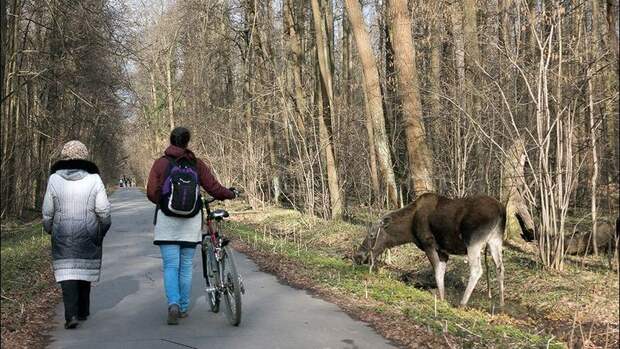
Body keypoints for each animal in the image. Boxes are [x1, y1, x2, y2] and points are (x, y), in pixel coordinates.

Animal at [354, 192, 508, 306]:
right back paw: (501, 304)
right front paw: (443, 298)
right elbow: (441, 273)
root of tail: (501, 211)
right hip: (495, 239)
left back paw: (462, 303)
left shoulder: (428, 244)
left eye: (372, 234)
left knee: (477, 270)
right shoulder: (443, 252)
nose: (358, 256)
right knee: (500, 267)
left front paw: (441, 299)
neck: (409, 230)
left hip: (473, 241)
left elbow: (437, 273)